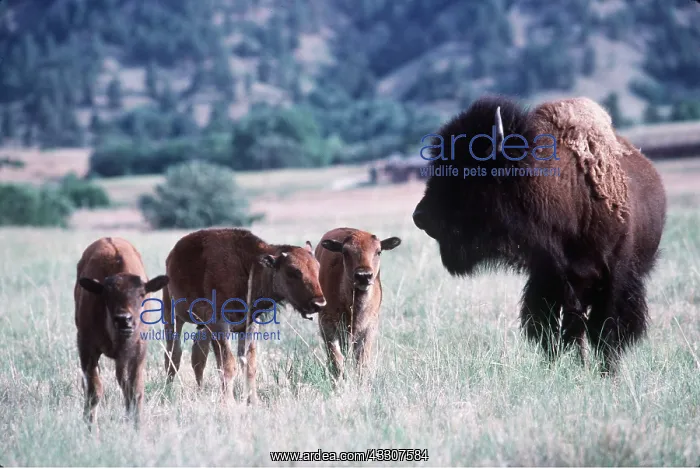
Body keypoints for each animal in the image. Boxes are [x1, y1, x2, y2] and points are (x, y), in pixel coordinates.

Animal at [75, 237, 169, 432]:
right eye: (106, 294)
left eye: (141, 294)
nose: (124, 319)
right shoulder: (87, 348)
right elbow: (94, 389)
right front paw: (90, 426)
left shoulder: (134, 352)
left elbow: (132, 389)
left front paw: (136, 426)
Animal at [162, 228, 326, 404]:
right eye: (293, 271)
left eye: (318, 268)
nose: (319, 303)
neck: (248, 267)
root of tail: (171, 257)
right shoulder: (220, 325)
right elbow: (227, 364)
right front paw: (229, 403)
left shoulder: (249, 326)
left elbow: (249, 364)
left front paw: (253, 401)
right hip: (172, 316)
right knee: (173, 354)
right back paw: (167, 391)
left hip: (203, 327)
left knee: (198, 356)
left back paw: (199, 391)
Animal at [314, 228, 401, 380]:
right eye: (345, 251)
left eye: (378, 251)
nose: (363, 276)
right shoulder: (327, 325)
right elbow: (336, 359)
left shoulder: (369, 327)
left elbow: (362, 361)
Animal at [412, 95, 667, 375]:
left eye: (465, 169)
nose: (420, 216)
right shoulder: (551, 277)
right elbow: (555, 328)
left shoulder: (614, 276)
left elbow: (605, 329)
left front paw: (607, 373)